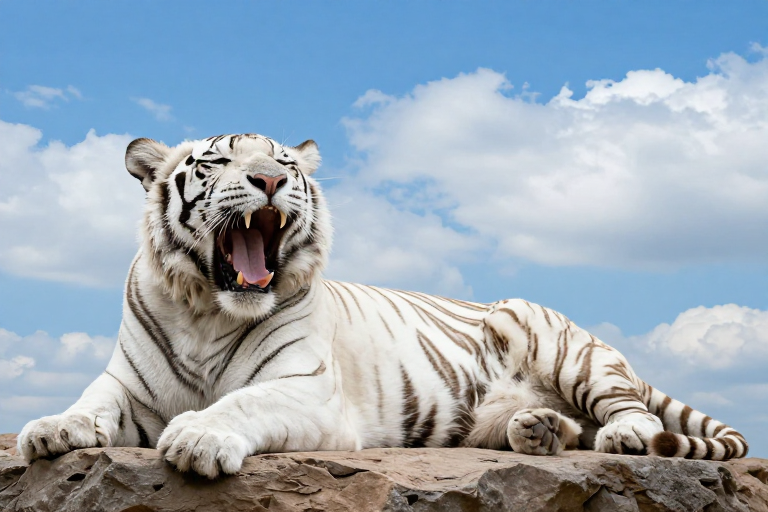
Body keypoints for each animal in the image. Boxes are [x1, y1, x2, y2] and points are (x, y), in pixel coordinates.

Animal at [17, 133, 748, 478]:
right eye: (216, 162)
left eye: (283, 162)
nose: (270, 180)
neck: (210, 308)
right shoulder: (127, 385)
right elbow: (90, 403)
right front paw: (50, 428)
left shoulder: (307, 389)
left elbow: (239, 403)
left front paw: (197, 436)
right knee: (563, 427)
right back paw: (538, 431)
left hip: (560, 345)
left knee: (626, 411)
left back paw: (621, 435)